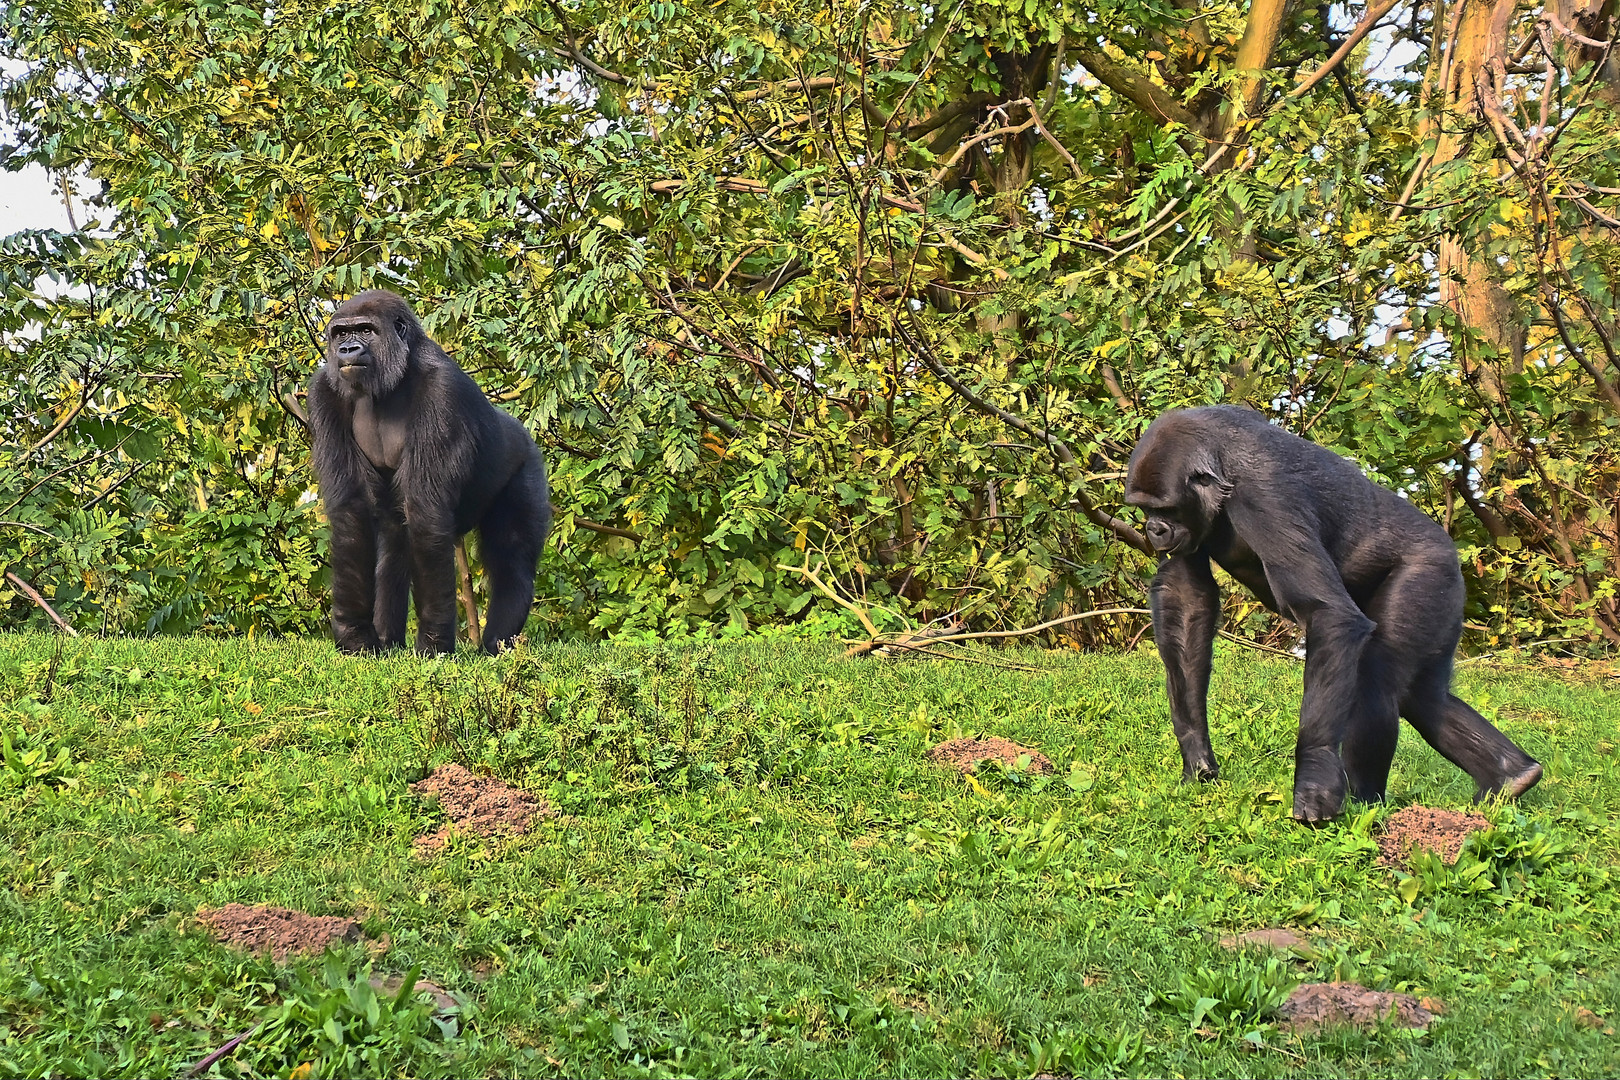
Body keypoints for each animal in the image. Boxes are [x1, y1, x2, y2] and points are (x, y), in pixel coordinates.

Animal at [306, 289, 554, 660]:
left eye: (365, 330)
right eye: (340, 334)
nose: (347, 349)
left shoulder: (443, 389)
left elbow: (426, 514)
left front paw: (434, 644)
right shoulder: (324, 392)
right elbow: (352, 511)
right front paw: (355, 636)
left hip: (527, 464)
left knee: (513, 562)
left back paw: (497, 644)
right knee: (394, 545)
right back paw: (388, 639)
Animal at [1121, 409, 1548, 822]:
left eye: (1166, 509)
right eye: (1145, 509)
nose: (1155, 529)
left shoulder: (1265, 497)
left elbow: (1327, 613)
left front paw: (1315, 776)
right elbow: (1186, 599)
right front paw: (1196, 755)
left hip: (1430, 573)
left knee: (1377, 679)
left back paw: (1366, 802)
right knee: (1422, 694)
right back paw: (1510, 775)